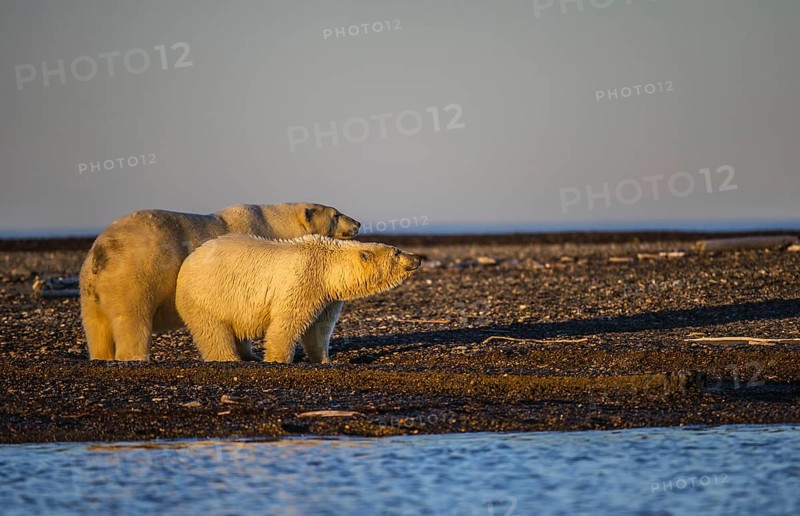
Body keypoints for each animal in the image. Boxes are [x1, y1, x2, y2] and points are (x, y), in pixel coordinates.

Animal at [79, 203, 360, 361]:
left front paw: (248, 354)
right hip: (136, 278)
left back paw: (101, 356)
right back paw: (136, 356)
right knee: (132, 319)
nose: (357, 222)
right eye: (336, 214)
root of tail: (102, 251)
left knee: (97, 326)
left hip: (90, 290)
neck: (278, 224)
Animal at [175, 234, 422, 363]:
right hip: (207, 295)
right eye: (397, 252)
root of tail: (188, 260)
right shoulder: (303, 280)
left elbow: (319, 328)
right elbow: (288, 322)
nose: (418, 257)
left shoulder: (327, 296)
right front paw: (278, 359)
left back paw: (249, 356)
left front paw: (323, 359)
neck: (327, 267)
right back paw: (230, 358)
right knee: (213, 331)